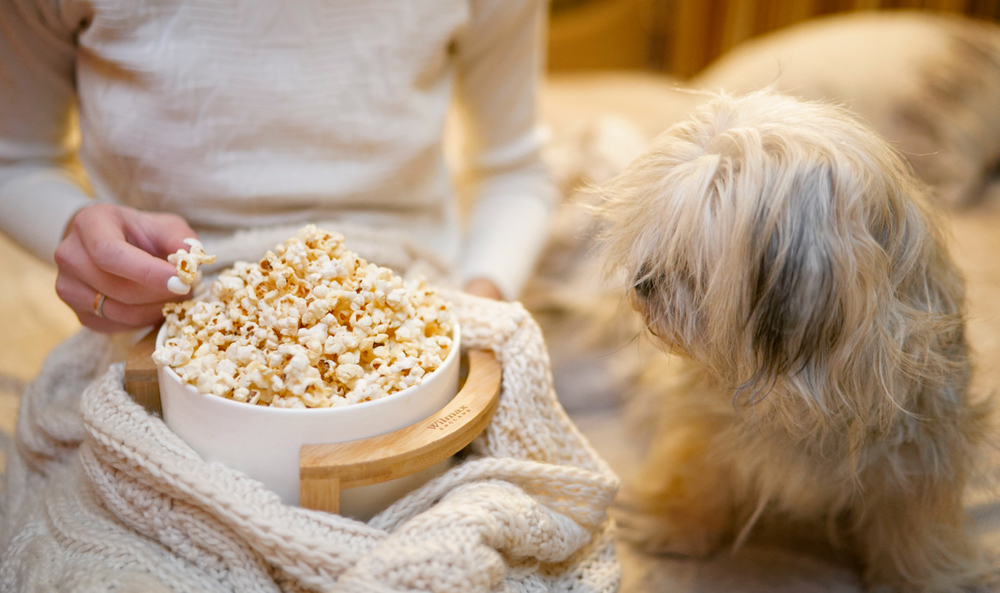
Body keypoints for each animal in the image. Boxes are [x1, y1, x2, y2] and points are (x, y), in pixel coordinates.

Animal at [592, 90, 992, 588]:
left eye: (695, 258)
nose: (643, 282)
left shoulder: (918, 450)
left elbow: (913, 525)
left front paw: (921, 579)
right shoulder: (703, 420)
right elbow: (698, 469)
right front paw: (674, 522)